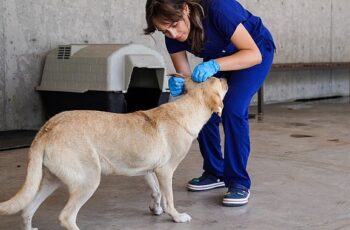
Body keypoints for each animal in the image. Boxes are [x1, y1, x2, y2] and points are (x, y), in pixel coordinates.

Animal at [0, 74, 227, 229]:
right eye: (218, 80)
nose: (225, 77)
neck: (186, 110)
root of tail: (48, 127)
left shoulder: (148, 170)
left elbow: (156, 191)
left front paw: (156, 208)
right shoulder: (166, 171)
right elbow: (169, 198)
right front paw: (176, 216)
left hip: (49, 181)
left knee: (27, 210)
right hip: (89, 180)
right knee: (66, 217)